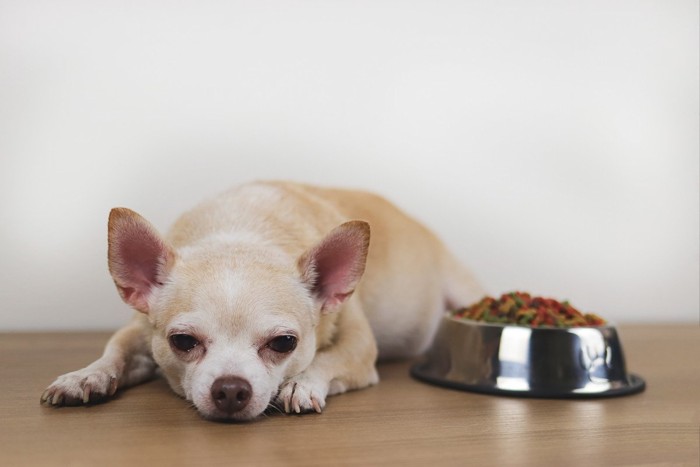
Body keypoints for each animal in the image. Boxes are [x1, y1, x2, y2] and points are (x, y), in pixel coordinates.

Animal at [39, 182, 482, 420]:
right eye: (182, 342)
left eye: (284, 343)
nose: (231, 389)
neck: (242, 231)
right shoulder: (140, 329)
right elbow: (114, 350)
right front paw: (86, 376)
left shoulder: (359, 348)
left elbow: (329, 358)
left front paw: (302, 383)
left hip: (464, 289)